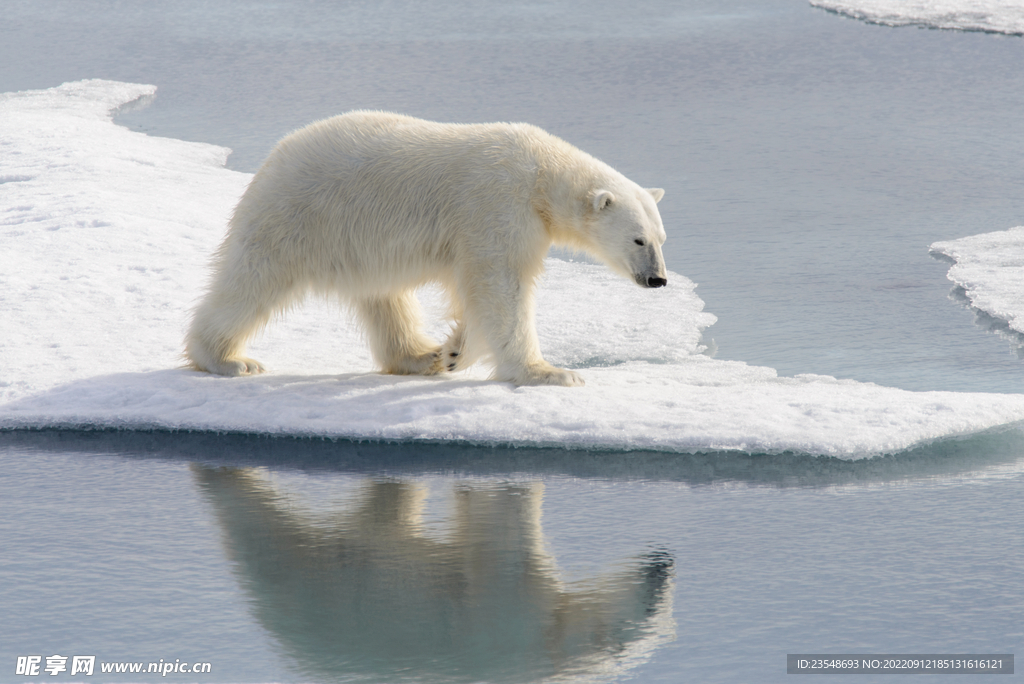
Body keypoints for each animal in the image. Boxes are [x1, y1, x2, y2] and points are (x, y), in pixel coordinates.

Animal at [187, 112, 667, 385]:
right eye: (638, 239)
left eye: (662, 239)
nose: (658, 279)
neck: (540, 174)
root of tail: (274, 158)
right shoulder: (496, 205)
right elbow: (500, 286)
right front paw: (550, 373)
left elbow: (479, 293)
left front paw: (453, 352)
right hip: (301, 215)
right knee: (253, 281)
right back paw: (228, 360)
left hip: (356, 242)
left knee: (385, 299)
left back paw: (421, 357)